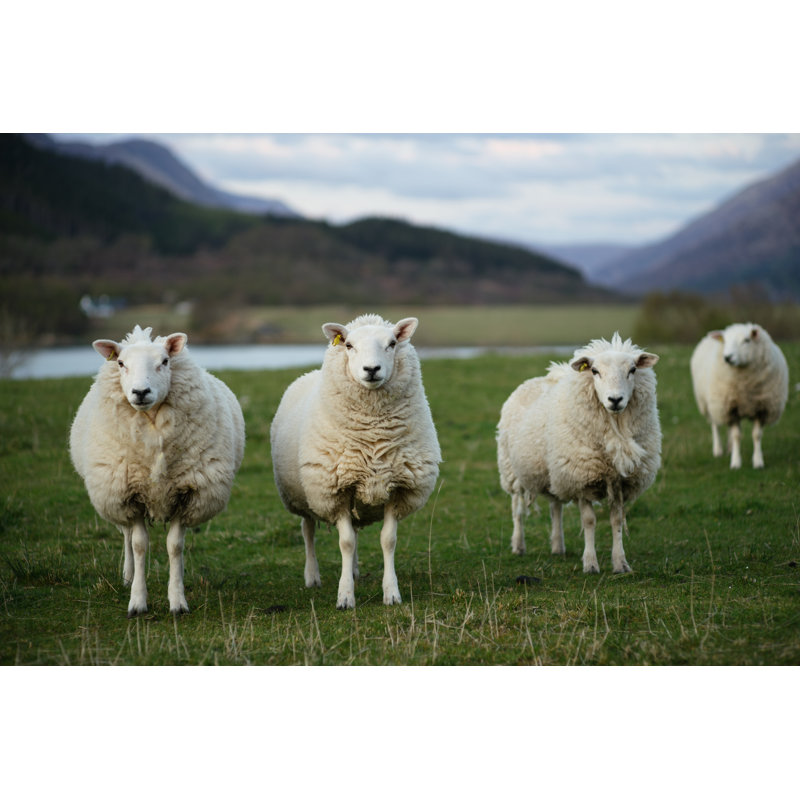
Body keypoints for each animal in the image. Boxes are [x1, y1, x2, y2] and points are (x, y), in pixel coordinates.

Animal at [69, 325, 245, 617]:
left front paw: (177, 600)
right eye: (121, 363)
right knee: (127, 536)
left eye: (164, 361)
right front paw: (137, 600)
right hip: (117, 496)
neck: (152, 428)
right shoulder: (130, 495)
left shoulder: (186, 494)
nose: (141, 392)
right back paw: (128, 576)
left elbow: (175, 546)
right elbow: (139, 545)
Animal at [270, 314, 441, 609]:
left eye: (392, 343)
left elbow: (388, 540)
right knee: (308, 530)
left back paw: (354, 571)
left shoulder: (396, 487)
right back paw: (312, 576)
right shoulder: (335, 489)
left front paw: (391, 593)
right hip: (305, 495)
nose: (371, 369)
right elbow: (346, 543)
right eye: (349, 345)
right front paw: (345, 596)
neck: (373, 435)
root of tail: (307, 374)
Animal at [497, 332, 661, 573]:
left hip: (554, 472)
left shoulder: (619, 482)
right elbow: (589, 521)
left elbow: (616, 521)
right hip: (512, 470)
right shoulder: (582, 478)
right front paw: (590, 563)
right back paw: (518, 545)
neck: (616, 431)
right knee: (517, 509)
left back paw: (558, 546)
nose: (615, 400)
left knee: (555, 507)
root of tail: (537, 379)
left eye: (632, 370)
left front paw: (620, 563)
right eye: (594, 371)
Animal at [690, 322, 789, 469]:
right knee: (715, 425)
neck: (745, 385)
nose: (727, 357)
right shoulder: (730, 408)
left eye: (746, 340)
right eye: (725, 341)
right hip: (712, 404)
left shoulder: (761, 408)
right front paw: (736, 462)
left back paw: (730, 448)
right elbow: (737, 435)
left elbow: (756, 435)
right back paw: (718, 450)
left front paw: (758, 461)